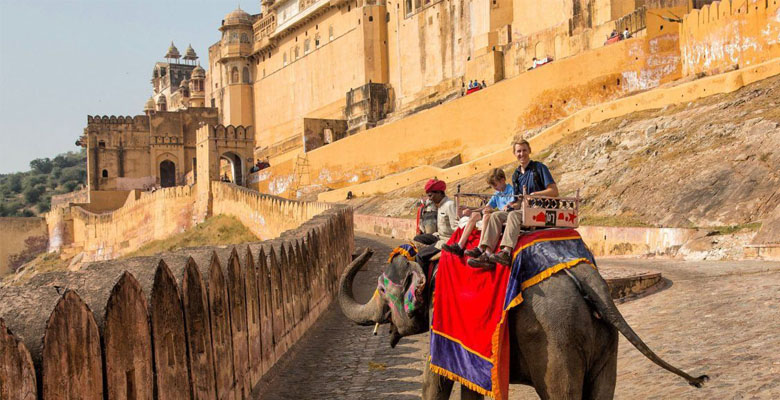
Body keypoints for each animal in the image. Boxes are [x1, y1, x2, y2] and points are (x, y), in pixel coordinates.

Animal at [338, 248, 708, 398]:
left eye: (381, 289)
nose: (364, 252)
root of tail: (587, 277)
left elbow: (435, 379)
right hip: (604, 338)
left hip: (556, 339)